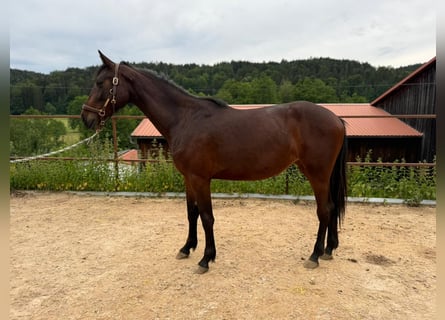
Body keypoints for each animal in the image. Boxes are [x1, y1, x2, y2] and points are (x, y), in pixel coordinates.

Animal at [81, 51, 348, 274]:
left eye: (100, 83)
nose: (86, 117)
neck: (186, 118)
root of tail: (336, 118)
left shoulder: (201, 179)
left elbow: (207, 217)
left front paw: (206, 259)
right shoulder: (188, 178)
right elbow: (192, 213)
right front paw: (187, 248)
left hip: (317, 174)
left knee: (324, 210)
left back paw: (314, 255)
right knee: (333, 207)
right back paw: (328, 250)